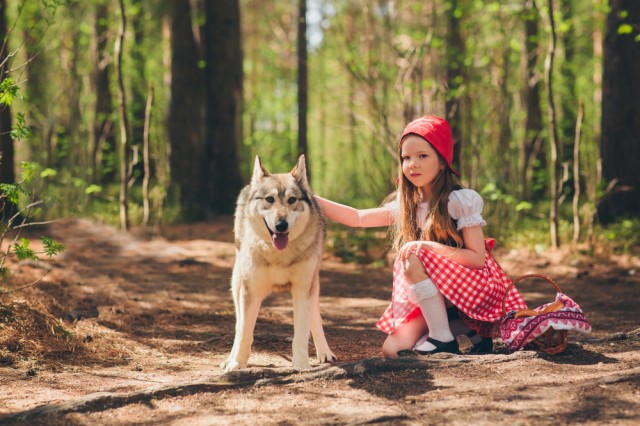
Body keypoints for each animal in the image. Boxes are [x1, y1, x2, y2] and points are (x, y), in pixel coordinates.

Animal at [221, 155, 338, 372]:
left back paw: (325, 352)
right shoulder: (250, 291)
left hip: (314, 286)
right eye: (270, 199)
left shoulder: (302, 290)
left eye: (292, 200)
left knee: (315, 319)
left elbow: (301, 334)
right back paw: (230, 358)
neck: (279, 255)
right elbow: (245, 332)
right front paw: (237, 363)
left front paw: (302, 367)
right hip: (237, 284)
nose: (281, 225)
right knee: (239, 325)